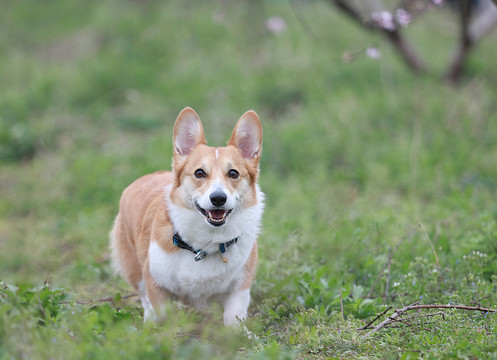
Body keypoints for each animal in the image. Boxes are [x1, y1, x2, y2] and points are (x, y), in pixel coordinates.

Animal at [108, 107, 264, 326]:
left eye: (233, 174)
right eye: (199, 173)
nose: (218, 198)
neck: (206, 243)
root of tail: (146, 176)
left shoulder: (240, 288)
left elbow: (233, 318)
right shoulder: (155, 283)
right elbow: (162, 315)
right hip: (134, 269)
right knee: (144, 298)